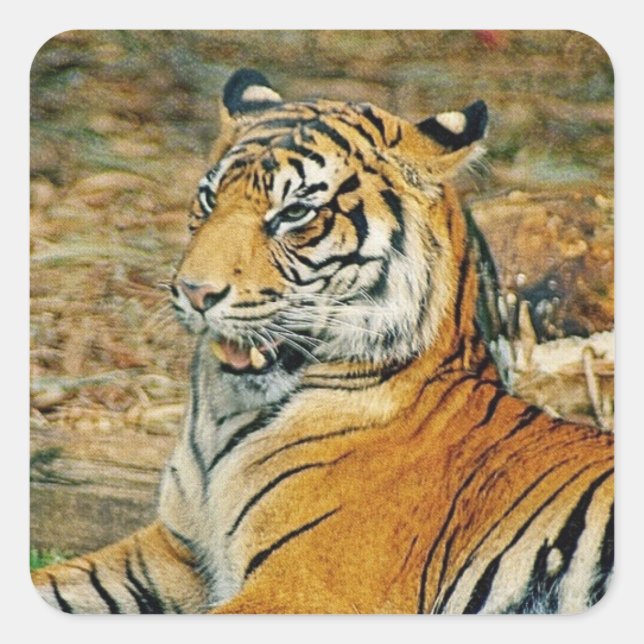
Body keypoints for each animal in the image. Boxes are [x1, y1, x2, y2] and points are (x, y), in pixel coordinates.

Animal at [32, 68, 613, 614]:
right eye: (209, 199)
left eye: (294, 213)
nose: (194, 292)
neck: (222, 419)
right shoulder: (172, 555)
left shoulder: (309, 587)